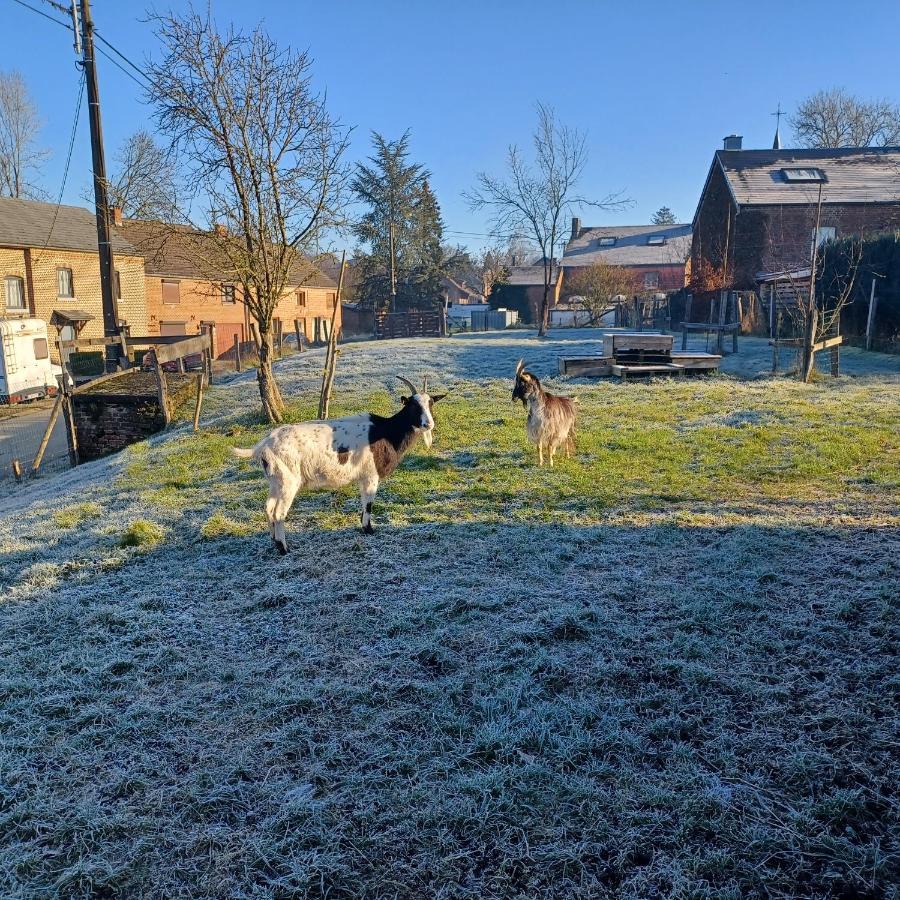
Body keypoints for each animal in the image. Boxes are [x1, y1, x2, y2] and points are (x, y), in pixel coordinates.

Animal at [230, 374, 444, 556]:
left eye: (431, 404)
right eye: (413, 406)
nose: (428, 424)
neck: (386, 432)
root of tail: (264, 445)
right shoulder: (370, 476)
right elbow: (369, 504)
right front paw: (368, 529)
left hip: (275, 481)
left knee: (268, 508)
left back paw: (274, 541)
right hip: (288, 482)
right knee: (278, 512)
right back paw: (284, 549)